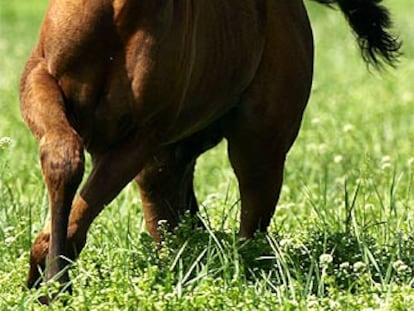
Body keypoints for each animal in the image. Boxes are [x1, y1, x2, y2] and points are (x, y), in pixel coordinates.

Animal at [21, 0, 400, 296]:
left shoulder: (141, 135)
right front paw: (46, 280)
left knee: (249, 230)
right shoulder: (40, 78)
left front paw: (54, 284)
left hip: (258, 149)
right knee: (175, 221)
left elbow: (78, 208)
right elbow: (63, 161)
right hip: (167, 164)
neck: (119, 14)